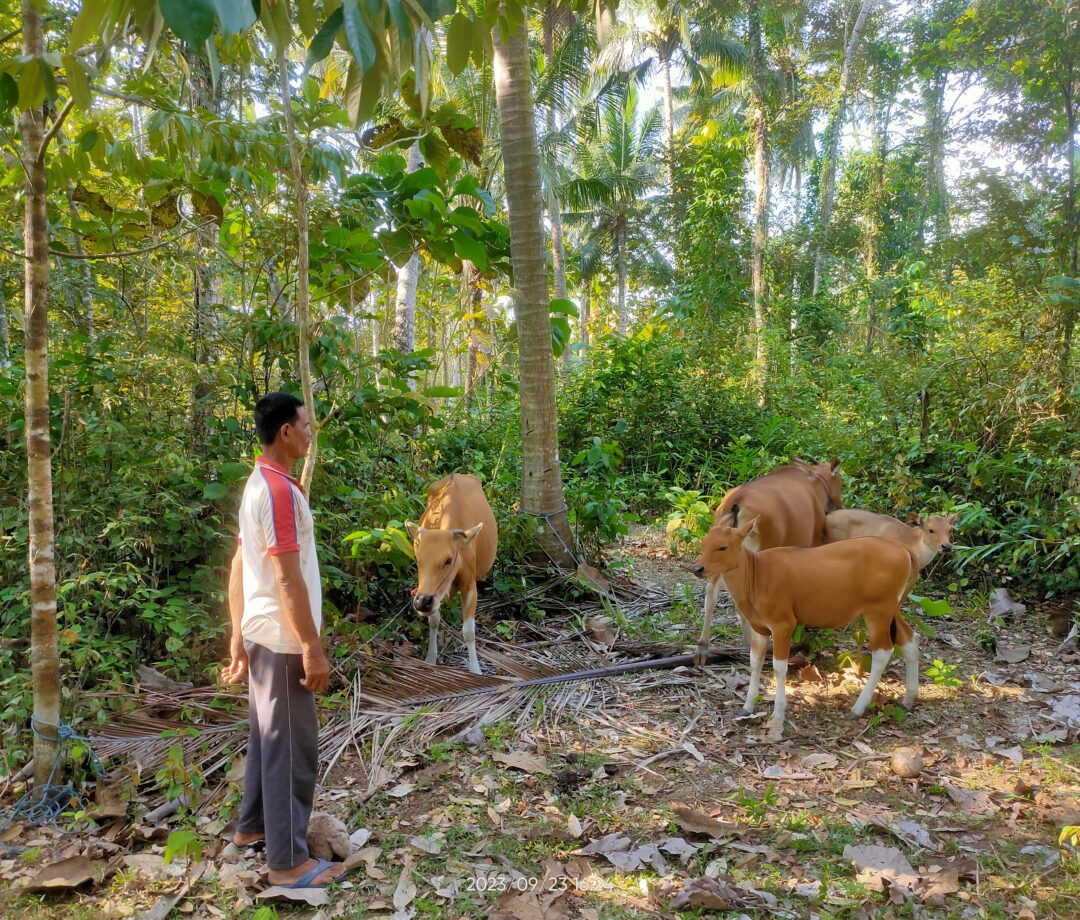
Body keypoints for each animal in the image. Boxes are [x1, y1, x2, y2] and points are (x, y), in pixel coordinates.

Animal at [406, 475, 496, 673]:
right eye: (418, 558)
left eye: (448, 560)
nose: (421, 601)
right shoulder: (431, 592)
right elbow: (434, 620)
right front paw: (431, 658)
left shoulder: (469, 586)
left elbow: (468, 632)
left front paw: (476, 670)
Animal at [691, 457, 842, 660]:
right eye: (840, 479)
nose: (840, 504)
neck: (815, 484)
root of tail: (736, 502)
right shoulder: (812, 543)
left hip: (721, 555)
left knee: (712, 591)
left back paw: (704, 646)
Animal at [695, 520, 915, 742]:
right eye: (703, 543)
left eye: (723, 547)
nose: (698, 568)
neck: (756, 576)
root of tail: (903, 549)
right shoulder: (760, 627)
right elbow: (755, 662)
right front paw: (747, 707)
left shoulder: (783, 624)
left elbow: (779, 667)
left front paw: (778, 716)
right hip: (892, 608)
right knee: (909, 638)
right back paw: (909, 697)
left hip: (878, 609)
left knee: (883, 652)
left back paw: (858, 708)